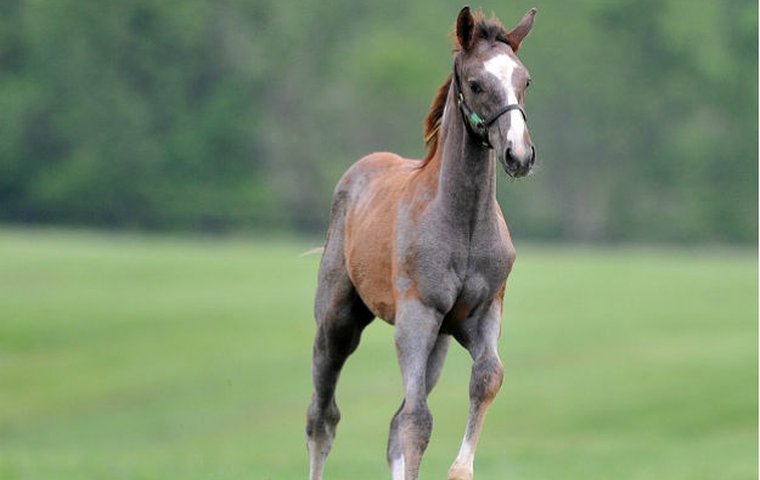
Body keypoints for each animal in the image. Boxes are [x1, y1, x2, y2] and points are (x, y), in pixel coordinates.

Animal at [306, 7, 536, 480]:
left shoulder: (482, 314)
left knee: (393, 423)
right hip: (337, 321)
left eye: (525, 80)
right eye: (475, 83)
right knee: (323, 415)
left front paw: (460, 470)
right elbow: (417, 419)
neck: (464, 225)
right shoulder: (418, 314)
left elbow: (487, 377)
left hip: (439, 343)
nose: (519, 155)